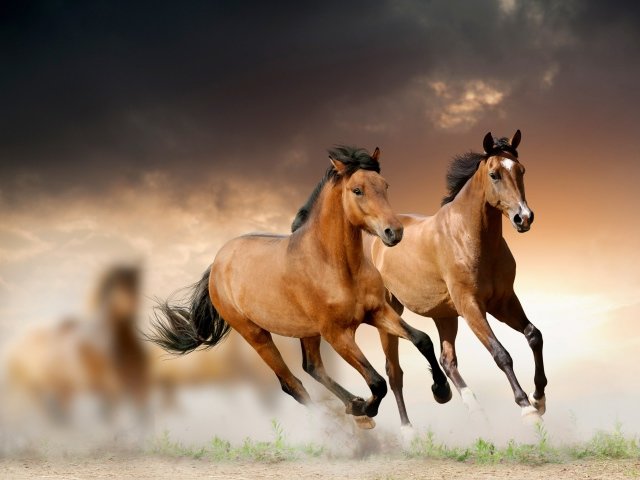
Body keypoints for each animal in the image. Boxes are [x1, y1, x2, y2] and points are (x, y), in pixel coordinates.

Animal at [149, 146, 450, 428]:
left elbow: (422, 339)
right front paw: (366, 408)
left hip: (307, 331)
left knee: (312, 367)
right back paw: (345, 420)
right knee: (292, 383)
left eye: (385, 185)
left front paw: (441, 390)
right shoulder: (337, 334)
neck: (336, 266)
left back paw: (353, 406)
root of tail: (217, 263)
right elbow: (377, 381)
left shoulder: (377, 312)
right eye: (357, 190)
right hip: (256, 334)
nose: (394, 232)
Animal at [371, 131, 547, 426]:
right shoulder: (471, 306)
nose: (523, 218)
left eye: (521, 170)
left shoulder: (503, 302)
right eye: (495, 174)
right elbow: (501, 354)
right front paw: (527, 408)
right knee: (394, 373)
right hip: (390, 314)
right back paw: (409, 430)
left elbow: (534, 335)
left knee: (446, 360)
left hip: (444, 315)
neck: (469, 237)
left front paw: (539, 398)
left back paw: (468, 405)